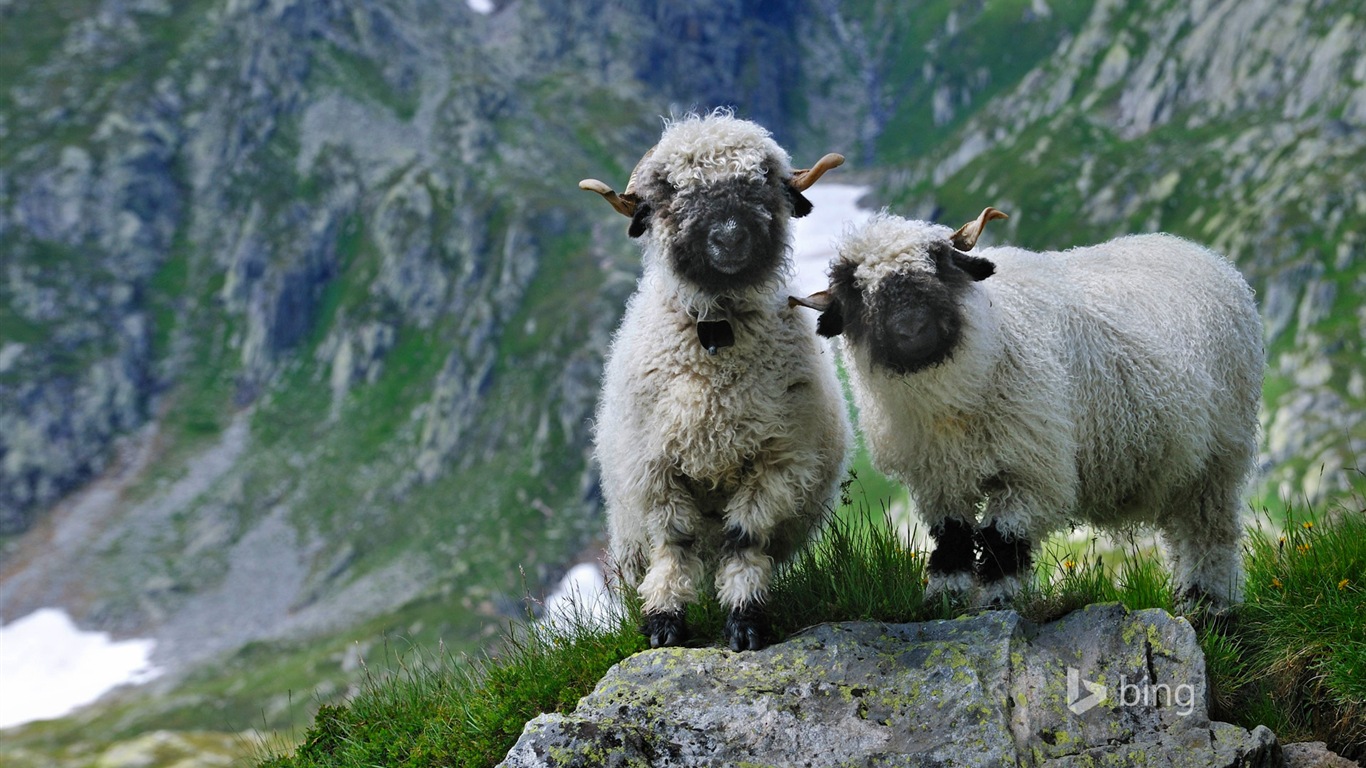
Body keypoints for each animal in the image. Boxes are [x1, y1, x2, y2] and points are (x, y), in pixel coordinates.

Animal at [579, 113, 852, 647]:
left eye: (762, 180)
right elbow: (674, 542)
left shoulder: (776, 463)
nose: (729, 236)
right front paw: (664, 621)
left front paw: (745, 618)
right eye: (670, 190)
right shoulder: (655, 469)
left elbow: (742, 539)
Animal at [797, 206, 1262, 606]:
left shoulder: (1033, 468)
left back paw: (1209, 602)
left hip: (1220, 456)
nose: (911, 329)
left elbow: (1002, 538)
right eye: (857, 292)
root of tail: (1198, 251)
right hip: (1179, 466)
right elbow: (952, 536)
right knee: (1183, 531)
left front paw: (1000, 601)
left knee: (1209, 532)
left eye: (940, 265)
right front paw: (944, 598)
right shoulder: (937, 476)